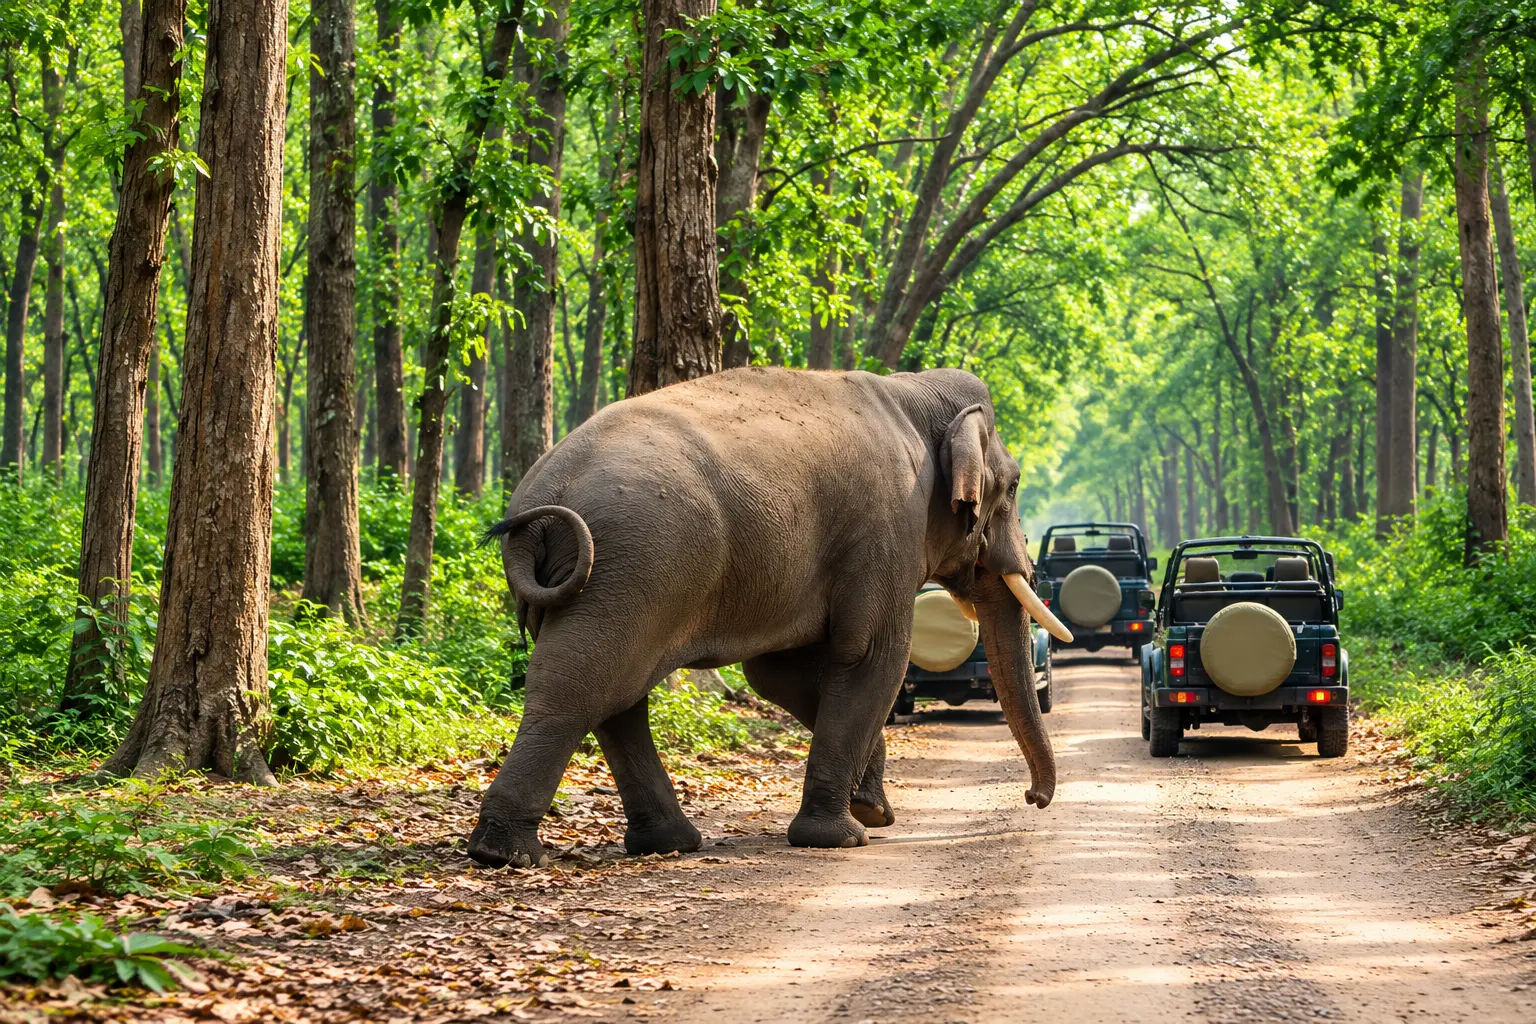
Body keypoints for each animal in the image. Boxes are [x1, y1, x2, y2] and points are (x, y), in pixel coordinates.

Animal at [468, 366, 1073, 868]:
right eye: (1014, 486)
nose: (1033, 798)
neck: (913, 392)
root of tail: (541, 496)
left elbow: (777, 674)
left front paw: (871, 808)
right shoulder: (888, 527)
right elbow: (873, 658)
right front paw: (845, 835)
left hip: (609, 578)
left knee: (618, 699)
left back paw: (666, 844)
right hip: (634, 566)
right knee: (587, 686)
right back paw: (506, 853)